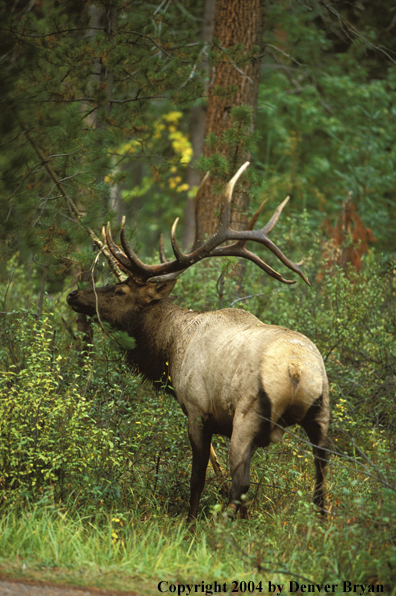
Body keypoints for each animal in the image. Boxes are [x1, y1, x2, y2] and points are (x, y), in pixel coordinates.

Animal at [67, 162, 328, 516]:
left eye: (120, 291)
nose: (74, 295)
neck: (170, 349)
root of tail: (297, 369)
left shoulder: (196, 409)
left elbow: (198, 478)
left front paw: (189, 522)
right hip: (322, 415)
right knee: (321, 483)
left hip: (247, 417)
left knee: (240, 484)